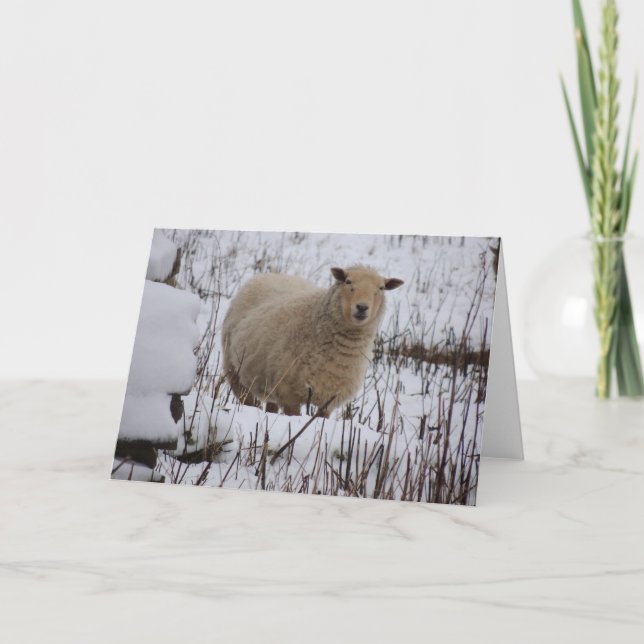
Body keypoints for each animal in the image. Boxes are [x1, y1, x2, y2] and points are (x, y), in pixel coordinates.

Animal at [222, 265, 404, 417]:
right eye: (347, 281)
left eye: (381, 288)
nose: (362, 307)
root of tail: (272, 274)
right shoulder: (289, 396)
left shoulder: (328, 402)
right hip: (234, 371)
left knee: (271, 406)